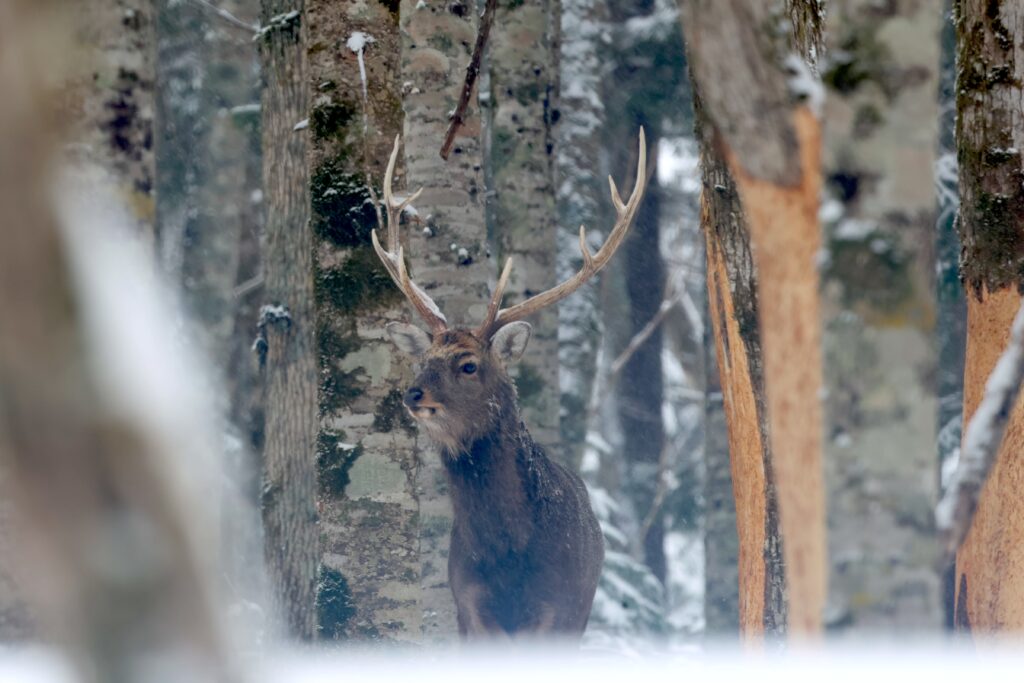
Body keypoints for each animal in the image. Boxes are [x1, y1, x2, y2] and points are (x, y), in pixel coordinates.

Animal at [371, 130, 646, 639]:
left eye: (468, 365)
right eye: (423, 360)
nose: (413, 393)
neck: (506, 555)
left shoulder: (553, 607)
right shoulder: (469, 605)